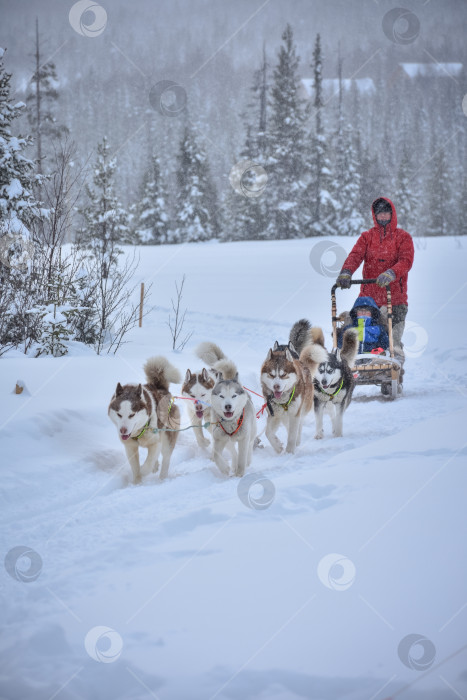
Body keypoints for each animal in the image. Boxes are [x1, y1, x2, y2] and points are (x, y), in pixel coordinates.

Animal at [260, 322, 330, 454]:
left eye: (283, 375)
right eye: (272, 374)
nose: (276, 386)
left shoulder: (295, 413)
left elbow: (292, 435)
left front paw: (289, 452)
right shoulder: (274, 414)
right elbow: (268, 433)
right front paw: (277, 446)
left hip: (303, 408)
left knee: (299, 425)